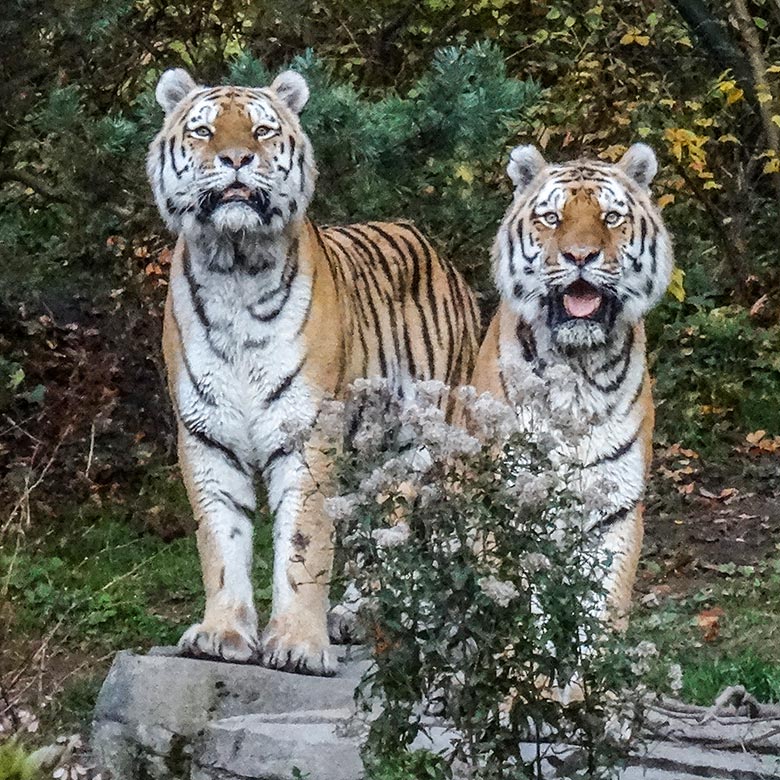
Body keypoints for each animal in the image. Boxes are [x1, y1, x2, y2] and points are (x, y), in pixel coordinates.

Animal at [143, 68, 478, 676]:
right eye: (204, 130)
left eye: (261, 130)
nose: (235, 159)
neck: (236, 268)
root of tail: (437, 252)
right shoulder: (207, 435)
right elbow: (220, 539)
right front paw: (222, 634)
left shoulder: (306, 432)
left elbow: (306, 538)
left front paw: (298, 644)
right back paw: (354, 615)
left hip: (435, 444)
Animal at [472, 143, 672, 632]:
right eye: (552, 218)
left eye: (611, 217)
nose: (581, 257)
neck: (578, 370)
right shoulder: (513, 506)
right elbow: (528, 622)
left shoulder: (616, 509)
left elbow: (598, 619)